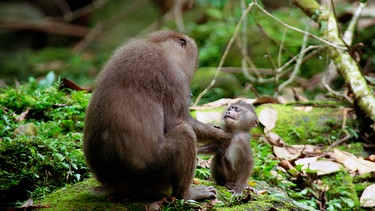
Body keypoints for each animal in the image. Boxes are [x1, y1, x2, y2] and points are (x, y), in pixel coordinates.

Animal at [83, 30, 231, 203]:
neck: (157, 45)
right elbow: (177, 121)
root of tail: (113, 184)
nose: (191, 93)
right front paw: (223, 137)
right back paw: (186, 194)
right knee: (186, 134)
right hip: (153, 173)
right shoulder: (175, 77)